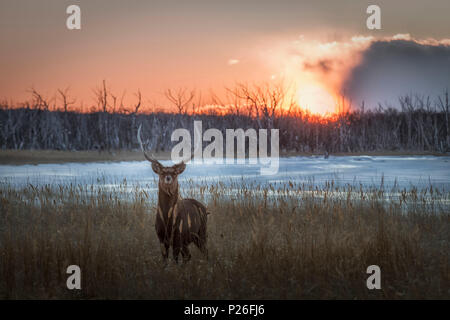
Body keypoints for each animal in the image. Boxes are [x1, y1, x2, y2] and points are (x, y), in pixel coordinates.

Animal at [137, 124, 209, 264]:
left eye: (175, 173)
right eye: (162, 172)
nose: (168, 177)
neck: (168, 221)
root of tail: (205, 208)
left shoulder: (178, 237)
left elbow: (175, 260)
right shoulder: (161, 238)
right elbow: (165, 261)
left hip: (201, 233)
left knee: (204, 252)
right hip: (189, 240)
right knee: (188, 255)